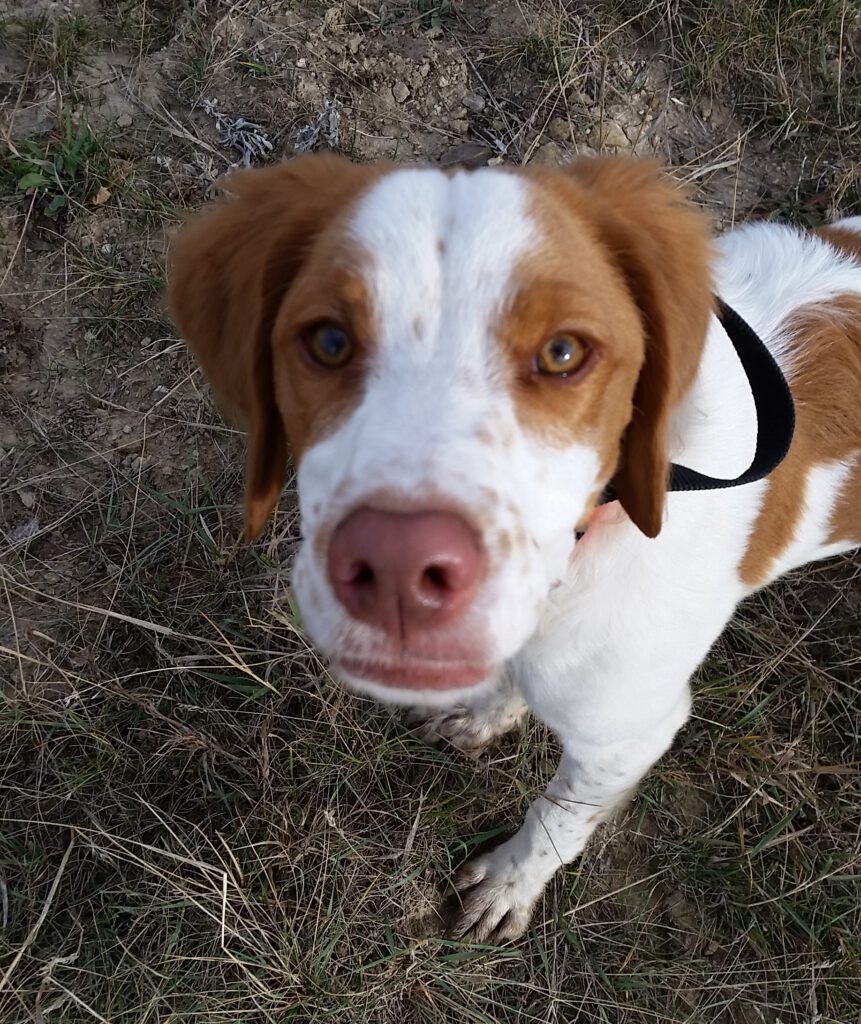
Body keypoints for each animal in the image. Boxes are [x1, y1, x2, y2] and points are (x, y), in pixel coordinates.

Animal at [167, 153, 859, 942]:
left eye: (562, 352)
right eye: (328, 341)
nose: (400, 569)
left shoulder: (627, 732)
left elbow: (558, 816)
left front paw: (509, 883)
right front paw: (487, 714)